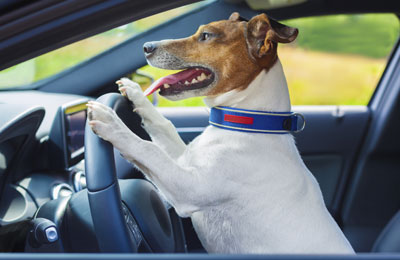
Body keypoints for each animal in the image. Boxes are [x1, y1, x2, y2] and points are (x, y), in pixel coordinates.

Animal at [86, 12, 354, 254]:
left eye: (206, 35)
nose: (146, 47)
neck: (247, 124)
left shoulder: (188, 187)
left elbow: (147, 149)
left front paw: (112, 123)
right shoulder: (185, 158)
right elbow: (163, 125)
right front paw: (135, 92)